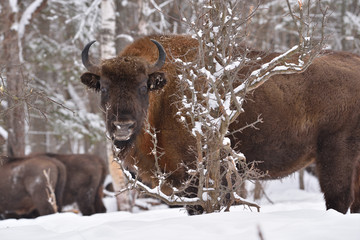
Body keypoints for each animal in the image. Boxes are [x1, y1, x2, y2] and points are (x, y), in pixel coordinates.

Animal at [80, 34, 360, 214]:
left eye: (142, 86)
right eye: (104, 87)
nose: (123, 126)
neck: (164, 95)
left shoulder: (198, 178)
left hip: (335, 156)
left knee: (338, 198)